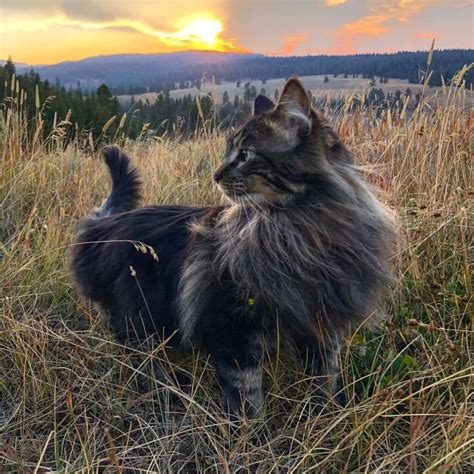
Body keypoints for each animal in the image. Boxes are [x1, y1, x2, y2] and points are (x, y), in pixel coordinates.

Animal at [69, 77, 396, 418]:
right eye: (229, 152)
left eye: (246, 155)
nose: (215, 175)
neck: (299, 229)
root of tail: (105, 223)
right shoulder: (233, 331)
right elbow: (247, 398)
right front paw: (255, 432)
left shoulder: (322, 323)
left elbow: (325, 379)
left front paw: (326, 415)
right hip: (140, 319)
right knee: (143, 361)